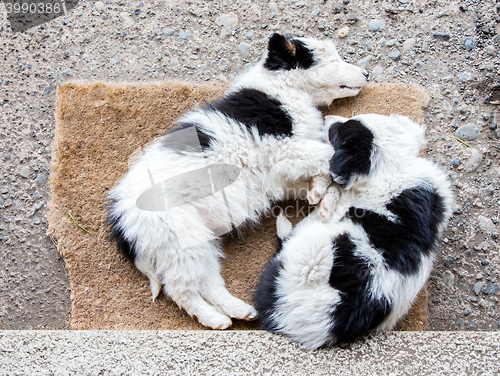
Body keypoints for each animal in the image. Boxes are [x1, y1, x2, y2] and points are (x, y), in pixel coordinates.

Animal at [108, 33, 368, 328]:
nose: (367, 74)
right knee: (181, 289)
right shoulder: (282, 149)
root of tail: (120, 219)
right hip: (180, 240)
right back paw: (213, 319)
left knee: (208, 282)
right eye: (333, 61)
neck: (284, 87)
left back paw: (238, 310)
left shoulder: (281, 173)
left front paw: (322, 197)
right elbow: (328, 153)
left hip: (199, 240)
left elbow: (318, 174)